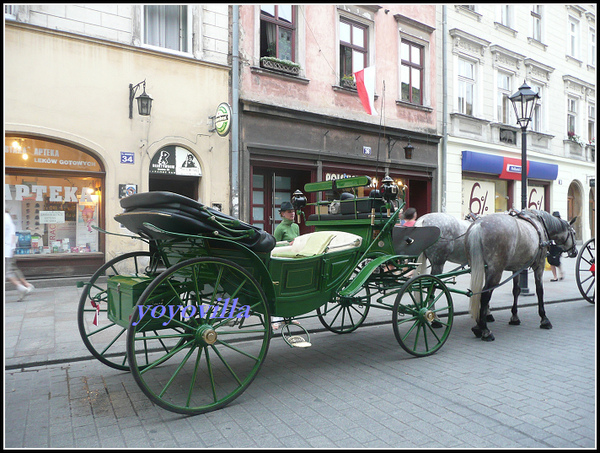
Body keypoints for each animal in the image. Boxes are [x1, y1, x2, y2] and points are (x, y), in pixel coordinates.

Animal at [464, 210, 576, 340]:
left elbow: (516, 290)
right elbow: (540, 291)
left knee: (478, 293)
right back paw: (485, 330)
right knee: (485, 294)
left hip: (479, 267)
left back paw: (478, 326)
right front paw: (544, 319)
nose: (575, 252)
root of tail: (478, 225)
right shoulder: (540, 265)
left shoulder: (516, 268)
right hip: (495, 271)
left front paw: (514, 317)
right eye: (574, 233)